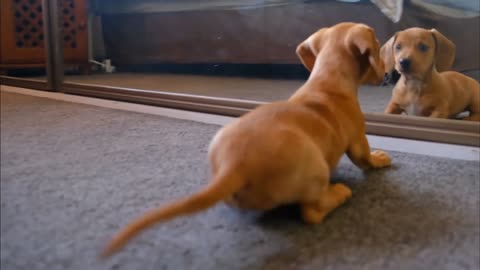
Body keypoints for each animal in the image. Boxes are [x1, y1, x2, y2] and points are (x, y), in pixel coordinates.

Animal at [100, 22, 390, 258]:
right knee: (312, 212)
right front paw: (378, 158)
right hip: (316, 169)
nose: (387, 75)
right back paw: (338, 193)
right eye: (377, 46)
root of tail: (235, 165)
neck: (327, 78)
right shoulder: (358, 138)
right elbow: (365, 157)